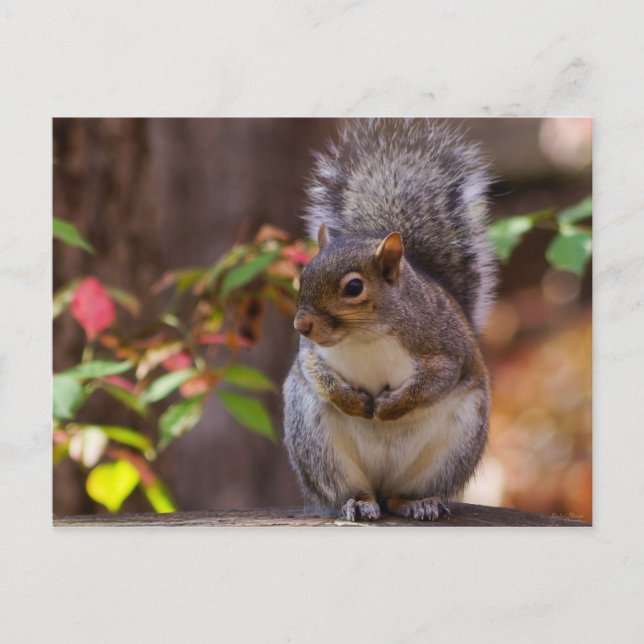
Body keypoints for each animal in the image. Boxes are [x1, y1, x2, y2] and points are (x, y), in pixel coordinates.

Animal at [283, 119, 496, 521]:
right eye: (303, 276)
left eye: (353, 287)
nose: (301, 326)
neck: (364, 336)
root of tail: (381, 487)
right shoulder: (310, 353)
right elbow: (313, 371)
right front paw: (353, 402)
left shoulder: (445, 347)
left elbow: (437, 379)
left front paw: (389, 407)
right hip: (317, 444)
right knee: (353, 489)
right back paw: (358, 502)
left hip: (454, 446)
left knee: (401, 495)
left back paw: (417, 502)